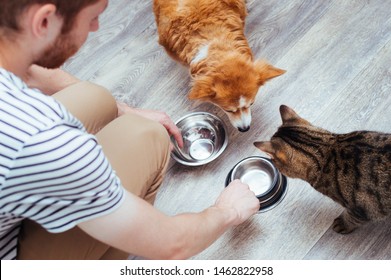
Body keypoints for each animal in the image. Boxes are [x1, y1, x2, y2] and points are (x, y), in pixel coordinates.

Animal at [254, 105, 391, 234]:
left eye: (273, 160)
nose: (271, 161)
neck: (328, 149)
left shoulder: (361, 210)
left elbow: (352, 219)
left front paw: (342, 224)